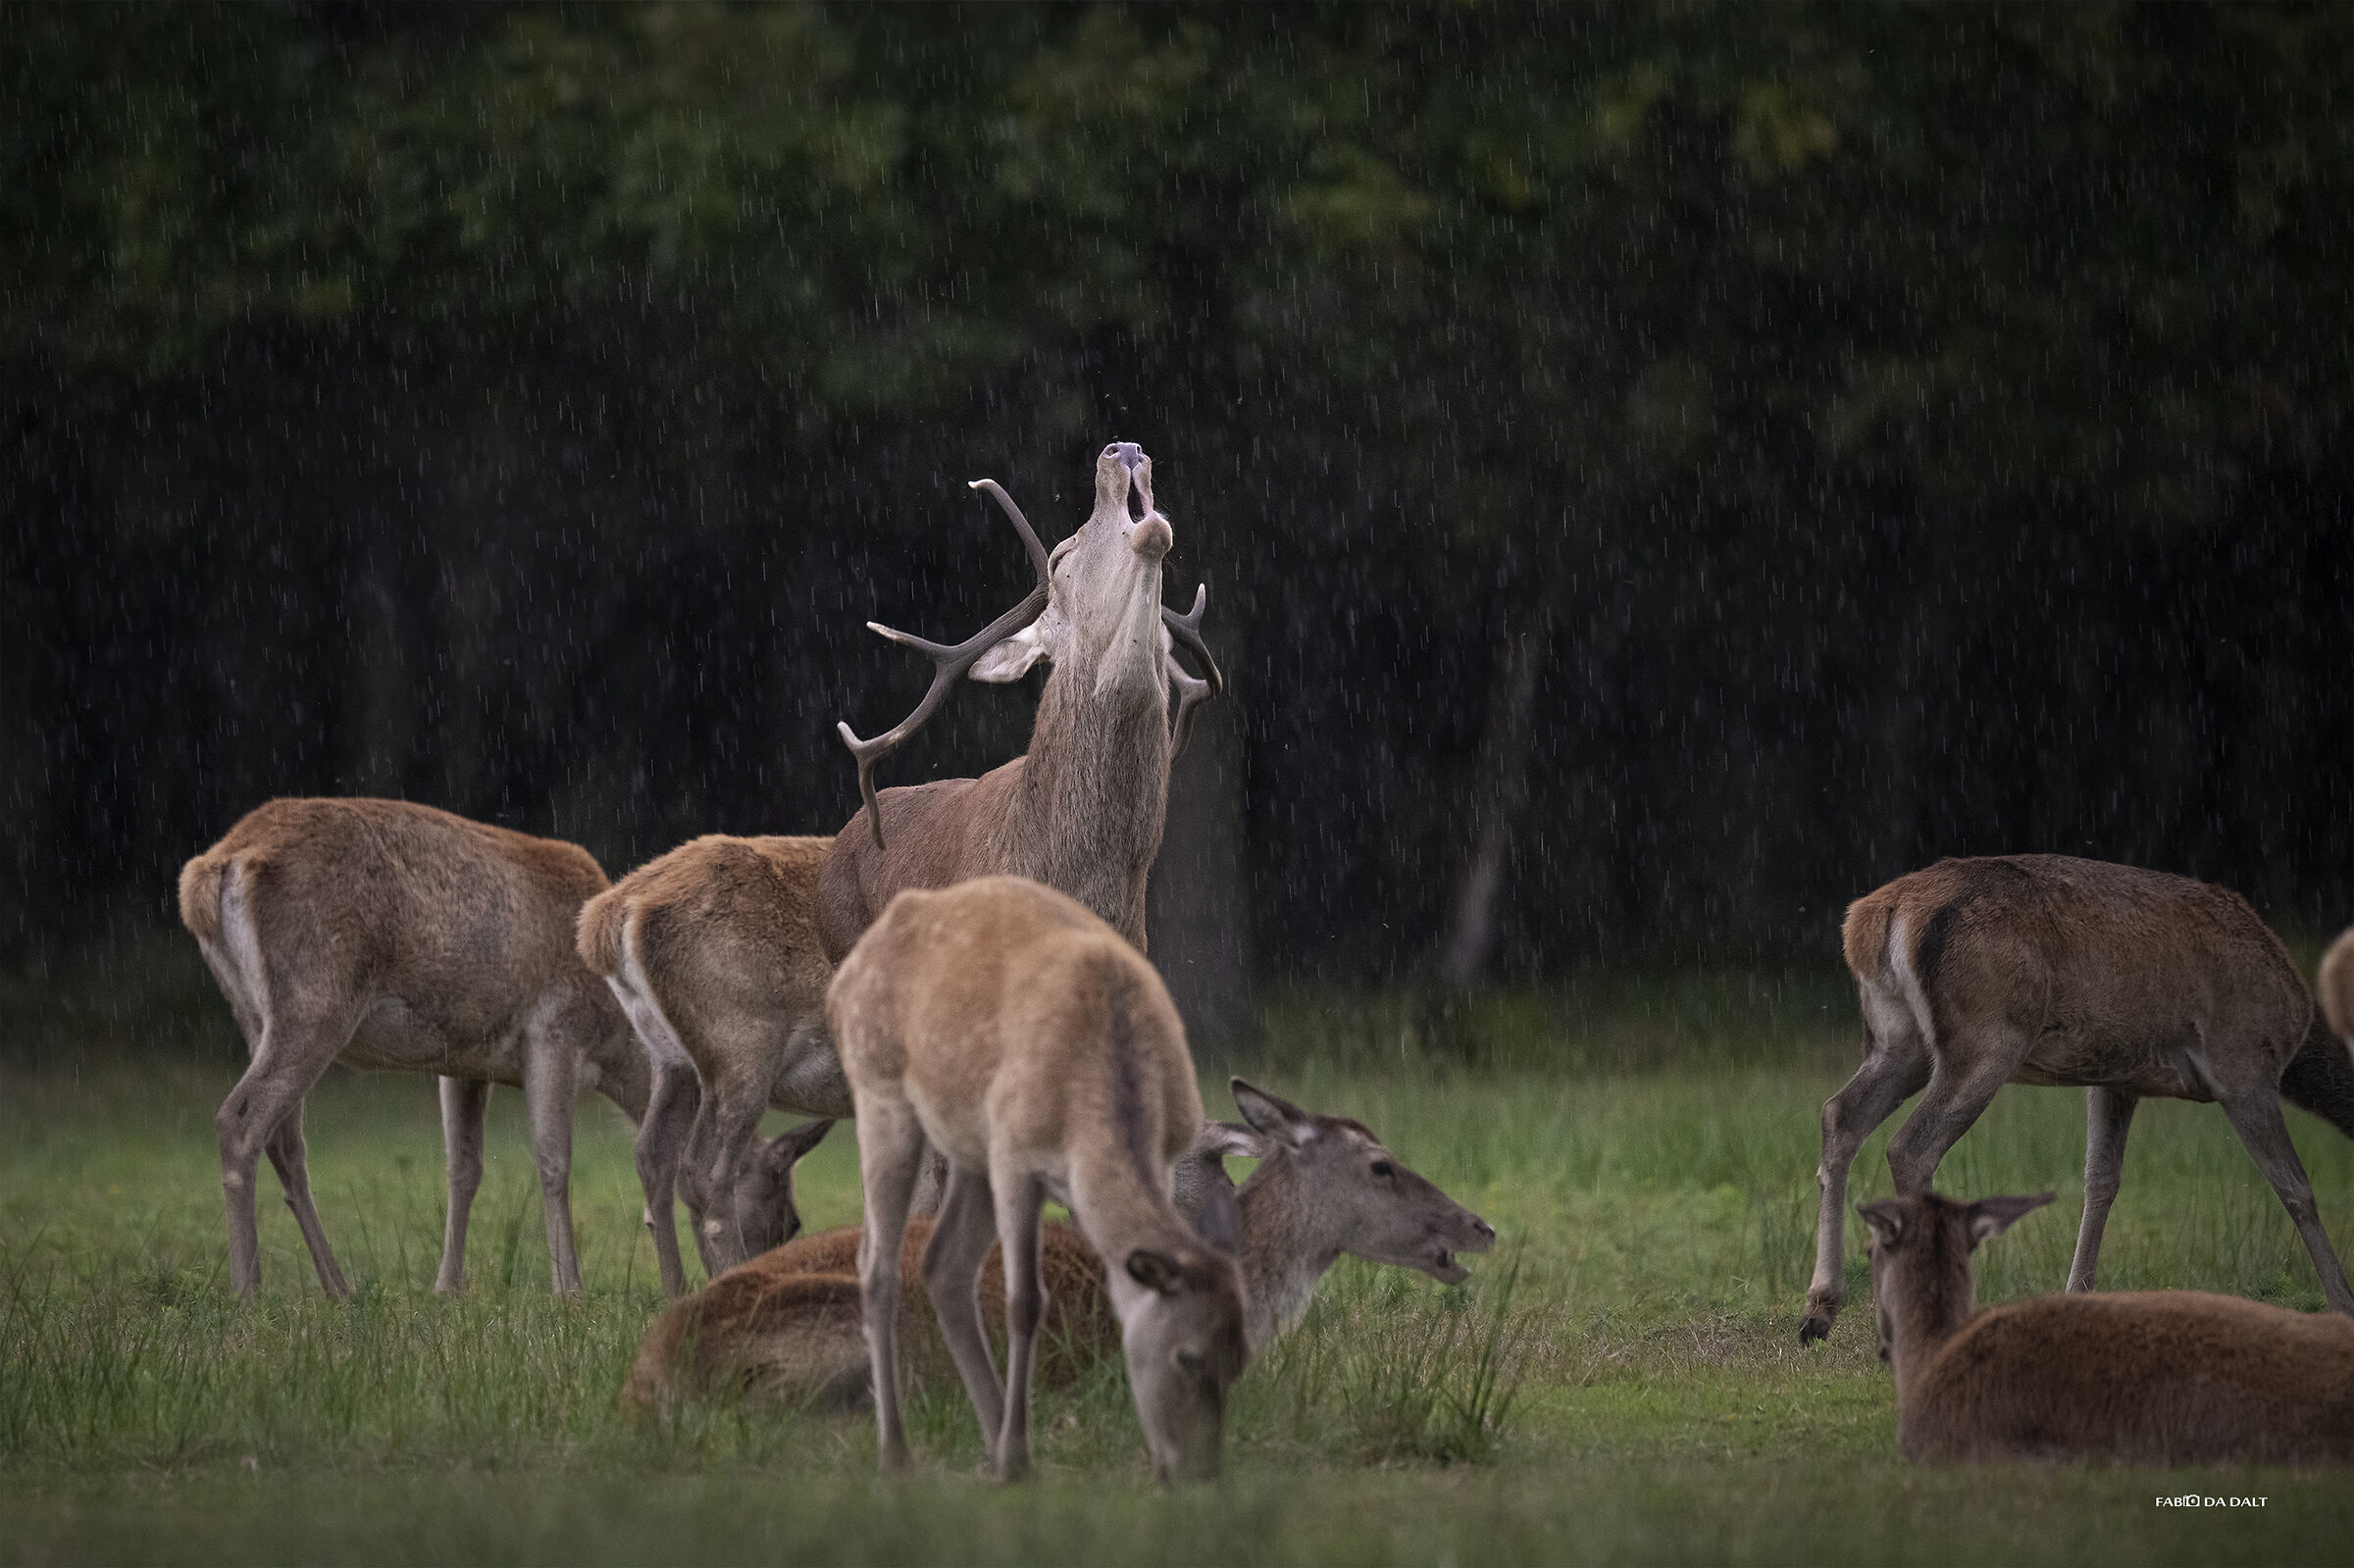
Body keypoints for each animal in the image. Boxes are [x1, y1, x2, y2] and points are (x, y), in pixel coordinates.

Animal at [177, 797, 815, 1298]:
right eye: (787, 1217)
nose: (761, 1271)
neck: (616, 1045)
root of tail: (213, 868)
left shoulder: (464, 1060)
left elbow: (463, 1169)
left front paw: (447, 1288)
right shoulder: (555, 1029)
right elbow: (553, 1159)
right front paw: (570, 1290)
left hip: (252, 1011)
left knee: (285, 1140)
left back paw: (337, 1286)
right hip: (314, 1001)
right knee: (240, 1119)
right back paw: (248, 1290)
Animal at [581, 441, 1221, 1294]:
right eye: (1060, 555)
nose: (1121, 449)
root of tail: (606, 916)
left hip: (680, 1057)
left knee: (656, 1156)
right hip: (744, 1037)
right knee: (710, 1172)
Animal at [831, 875, 1247, 1484]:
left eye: (1242, 1358)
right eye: (1186, 1355)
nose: (1199, 1472)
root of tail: (843, 978)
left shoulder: (1165, 1157)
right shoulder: (1014, 1156)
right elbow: (1025, 1300)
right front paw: (1019, 1456)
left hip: (969, 1149)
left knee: (942, 1262)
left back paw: (989, 1437)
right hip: (879, 1091)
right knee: (875, 1266)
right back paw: (900, 1455)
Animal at [1801, 854, 2354, 1344]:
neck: (2297, 1037)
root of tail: (1875, 917)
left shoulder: (2115, 1077)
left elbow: (2100, 1182)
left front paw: (2077, 1295)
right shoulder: (2242, 1064)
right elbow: (2296, 1189)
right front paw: (2342, 1303)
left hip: (1898, 1040)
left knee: (1840, 1114)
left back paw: (1819, 1310)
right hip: (1990, 1033)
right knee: (1911, 1144)